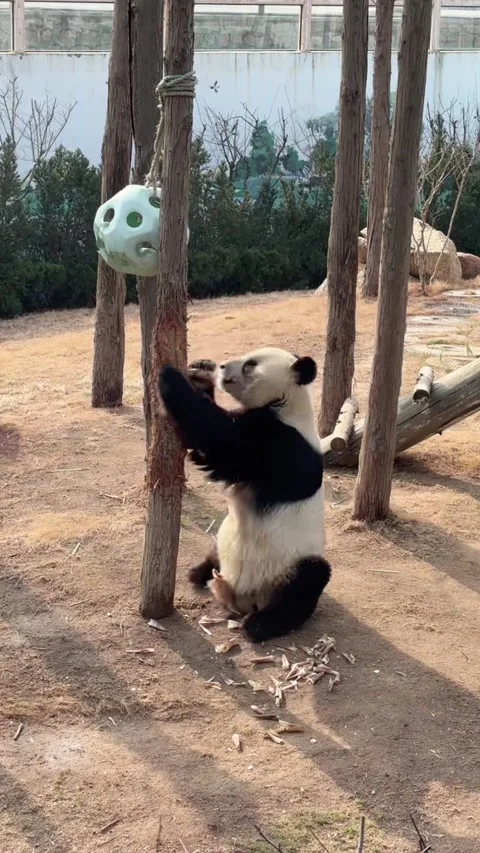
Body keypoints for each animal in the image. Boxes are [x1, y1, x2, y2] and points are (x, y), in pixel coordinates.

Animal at [159, 347, 331, 643]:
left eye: (250, 364)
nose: (222, 366)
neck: (287, 402)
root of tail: (240, 600)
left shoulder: (282, 445)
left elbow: (221, 439)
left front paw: (169, 374)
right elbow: (205, 451)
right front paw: (200, 372)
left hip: (287, 568)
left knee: (309, 580)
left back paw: (261, 625)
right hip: (226, 537)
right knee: (217, 547)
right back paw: (199, 572)